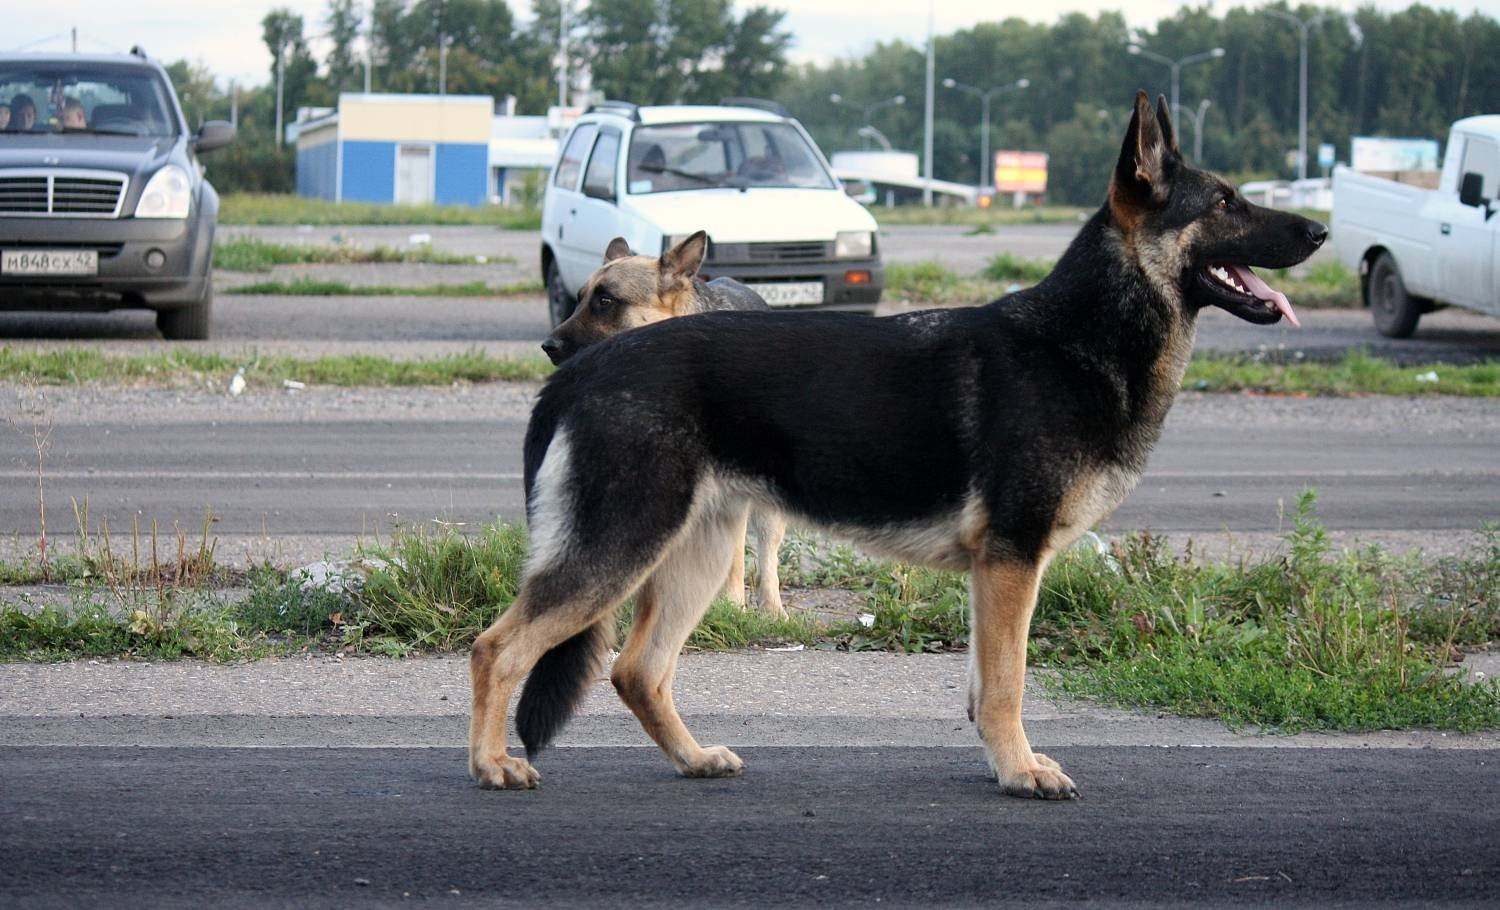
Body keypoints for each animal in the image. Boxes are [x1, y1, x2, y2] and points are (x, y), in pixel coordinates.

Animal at [543, 235, 798, 620]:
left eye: (606, 300)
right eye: (579, 298)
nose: (548, 346)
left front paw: (731, 607)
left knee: (764, 552)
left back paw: (770, 608)